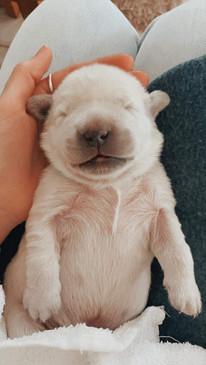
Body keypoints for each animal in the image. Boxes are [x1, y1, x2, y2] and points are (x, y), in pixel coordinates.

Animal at [4, 63, 202, 338]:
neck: (108, 183)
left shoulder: (161, 209)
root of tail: (90, 325)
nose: (95, 133)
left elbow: (178, 249)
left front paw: (188, 295)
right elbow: (41, 256)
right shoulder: (46, 210)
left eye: (128, 107)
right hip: (18, 318)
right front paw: (43, 300)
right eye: (64, 114)